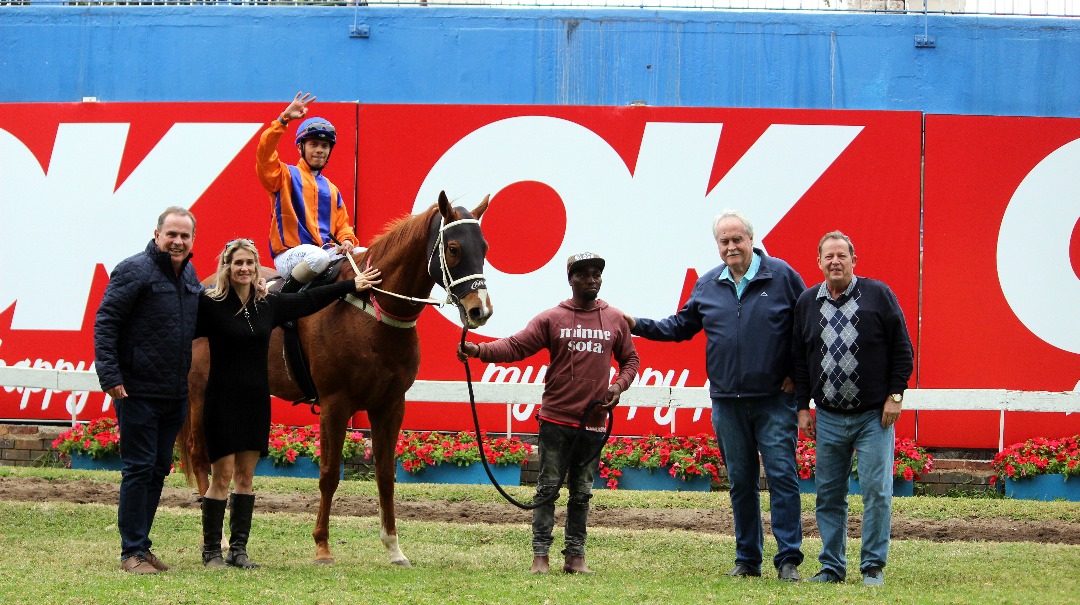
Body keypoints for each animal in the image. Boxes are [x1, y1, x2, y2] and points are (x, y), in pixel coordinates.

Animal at [179, 191, 492, 566]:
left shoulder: (390, 405)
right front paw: (322, 546)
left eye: (484, 247)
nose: (480, 310)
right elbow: (328, 474)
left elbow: (385, 475)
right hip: (200, 392)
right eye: (454, 248)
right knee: (200, 454)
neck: (372, 312)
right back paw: (221, 541)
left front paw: (394, 547)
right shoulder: (335, 403)